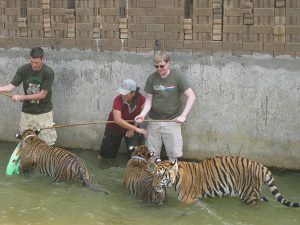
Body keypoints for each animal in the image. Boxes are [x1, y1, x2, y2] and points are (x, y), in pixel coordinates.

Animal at [152, 156, 300, 207]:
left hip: (248, 195)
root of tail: (261, 166)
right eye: (153, 175)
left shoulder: (187, 201)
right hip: (256, 192)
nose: (153, 186)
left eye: (160, 176)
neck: (176, 177)